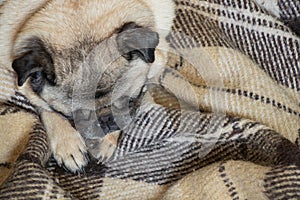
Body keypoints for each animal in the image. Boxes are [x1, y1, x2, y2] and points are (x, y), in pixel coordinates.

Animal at [0, 0, 173, 172]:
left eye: (130, 102)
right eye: (75, 116)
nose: (106, 120)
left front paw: (107, 141)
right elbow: (47, 109)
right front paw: (67, 144)